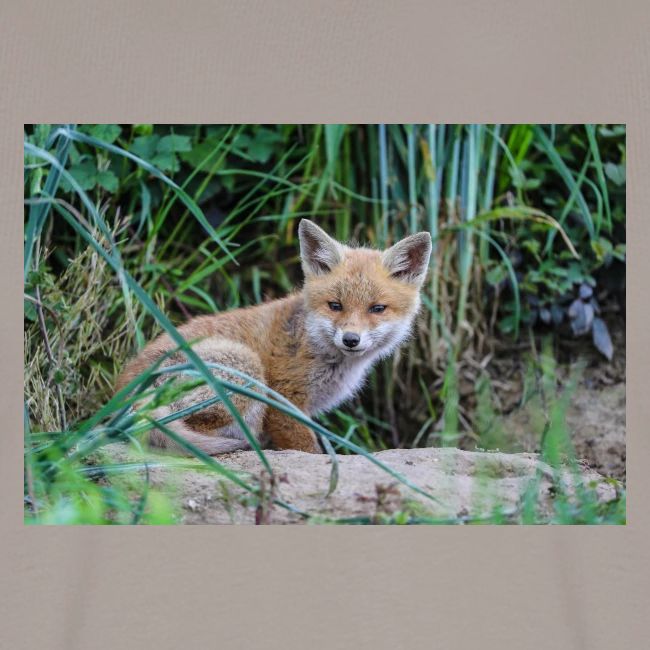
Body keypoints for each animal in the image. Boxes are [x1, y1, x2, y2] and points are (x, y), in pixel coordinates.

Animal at [116, 219, 432, 455]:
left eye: (377, 309)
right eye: (335, 305)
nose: (351, 339)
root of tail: (124, 395)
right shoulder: (283, 400)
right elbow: (308, 449)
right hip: (246, 368)